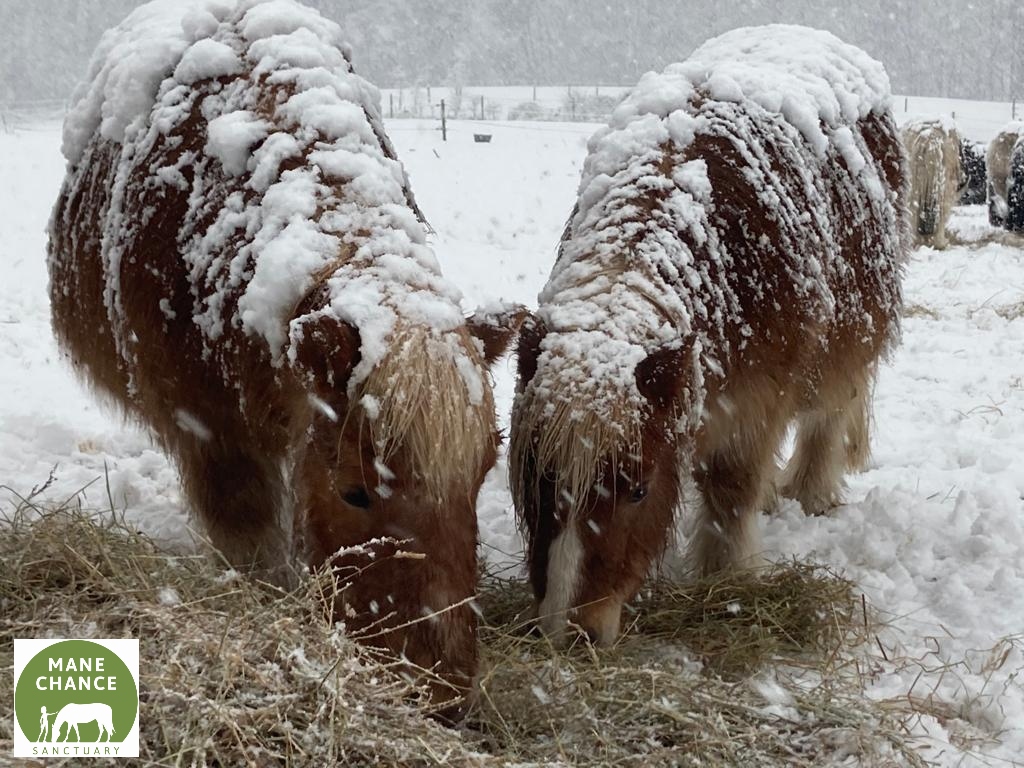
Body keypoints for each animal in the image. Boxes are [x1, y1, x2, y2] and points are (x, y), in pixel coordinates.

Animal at [510, 25, 907, 646]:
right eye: (538, 476)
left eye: (638, 488)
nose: (568, 635)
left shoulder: (756, 403)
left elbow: (731, 491)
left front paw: (729, 578)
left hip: (851, 339)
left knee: (831, 412)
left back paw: (811, 490)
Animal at [901, 118, 963, 249]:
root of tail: (929, 137)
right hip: (945, 186)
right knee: (941, 210)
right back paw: (940, 242)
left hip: (912, 182)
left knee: (912, 208)